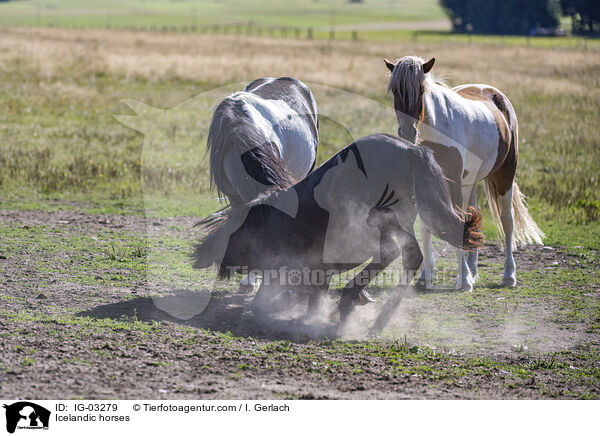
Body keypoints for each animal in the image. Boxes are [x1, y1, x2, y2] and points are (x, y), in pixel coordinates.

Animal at [384, 56, 544, 292]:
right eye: (395, 90)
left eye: (421, 90)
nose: (407, 133)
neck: (434, 129)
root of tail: (492, 92)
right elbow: (427, 225)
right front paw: (426, 276)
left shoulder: (454, 183)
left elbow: (458, 221)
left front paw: (463, 280)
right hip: (470, 182)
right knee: (474, 215)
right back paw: (473, 270)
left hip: (505, 175)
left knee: (507, 220)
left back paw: (508, 275)